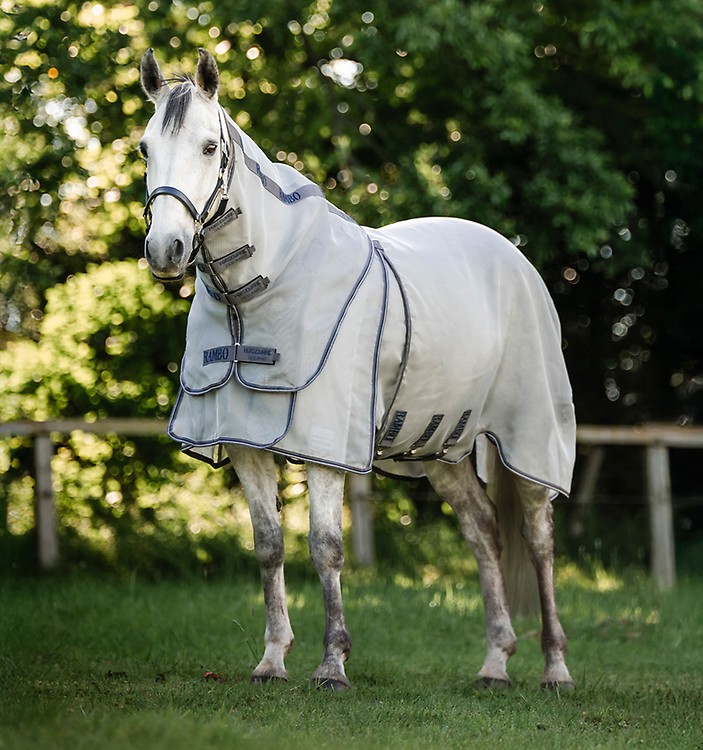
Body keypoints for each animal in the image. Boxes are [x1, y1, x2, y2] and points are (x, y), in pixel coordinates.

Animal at [138, 48, 576, 691]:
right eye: (146, 147)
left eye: (208, 147)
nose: (165, 249)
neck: (262, 287)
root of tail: (514, 258)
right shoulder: (243, 442)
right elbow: (268, 545)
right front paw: (272, 661)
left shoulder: (325, 443)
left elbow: (325, 546)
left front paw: (332, 664)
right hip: (440, 449)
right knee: (484, 533)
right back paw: (495, 664)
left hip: (531, 436)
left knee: (538, 540)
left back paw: (555, 667)